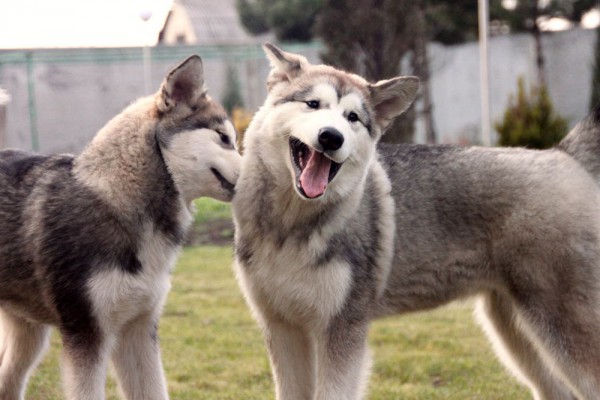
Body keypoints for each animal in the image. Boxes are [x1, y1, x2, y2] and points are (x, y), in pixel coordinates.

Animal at [232, 42, 600, 398]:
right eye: (312, 104)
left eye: (352, 117)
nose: (331, 137)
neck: (289, 225)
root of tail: (563, 155)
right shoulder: (283, 330)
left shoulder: (341, 331)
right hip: (514, 332)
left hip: (560, 329)